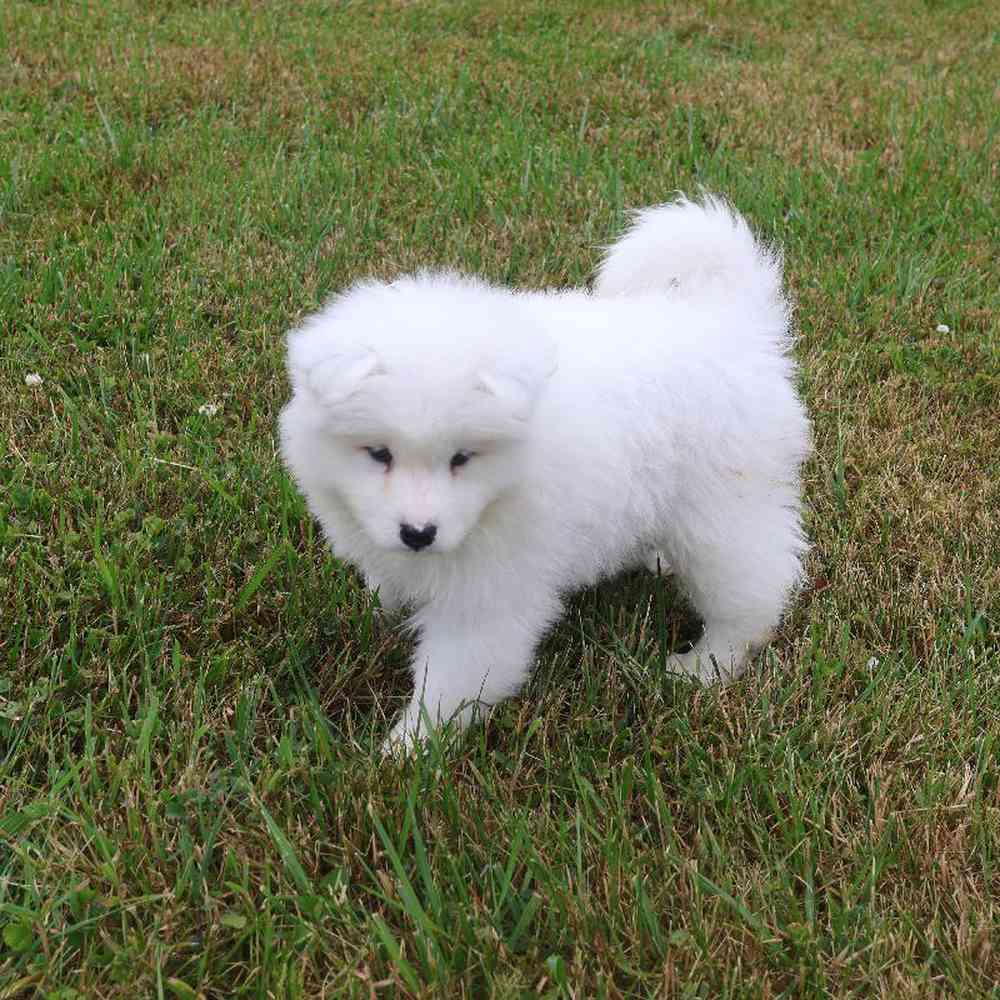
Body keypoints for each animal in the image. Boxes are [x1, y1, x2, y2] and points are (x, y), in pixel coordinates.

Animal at [282, 195, 812, 752]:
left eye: (462, 458)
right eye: (378, 453)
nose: (418, 534)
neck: (507, 486)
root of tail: (730, 323)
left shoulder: (492, 591)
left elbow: (455, 677)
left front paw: (407, 748)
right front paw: (381, 611)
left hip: (721, 514)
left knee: (754, 590)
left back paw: (705, 666)